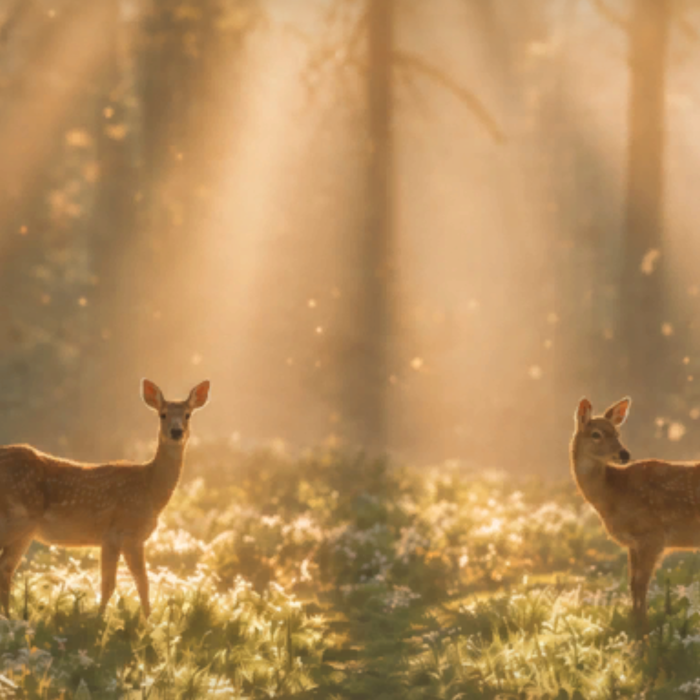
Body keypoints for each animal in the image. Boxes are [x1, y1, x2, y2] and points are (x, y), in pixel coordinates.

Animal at [0, 379, 210, 619]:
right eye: (162, 414)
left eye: (188, 414)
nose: (176, 431)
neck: (150, 490)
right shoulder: (119, 533)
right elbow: (119, 584)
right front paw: (105, 621)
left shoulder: (126, 538)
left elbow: (135, 583)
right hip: (16, 519)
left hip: (25, 530)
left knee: (6, 568)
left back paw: (10, 618)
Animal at [571, 396, 700, 633]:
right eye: (596, 434)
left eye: (617, 433)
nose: (624, 454)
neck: (612, 496)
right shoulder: (634, 543)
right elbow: (633, 584)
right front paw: (635, 623)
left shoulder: (653, 535)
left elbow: (642, 584)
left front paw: (643, 628)